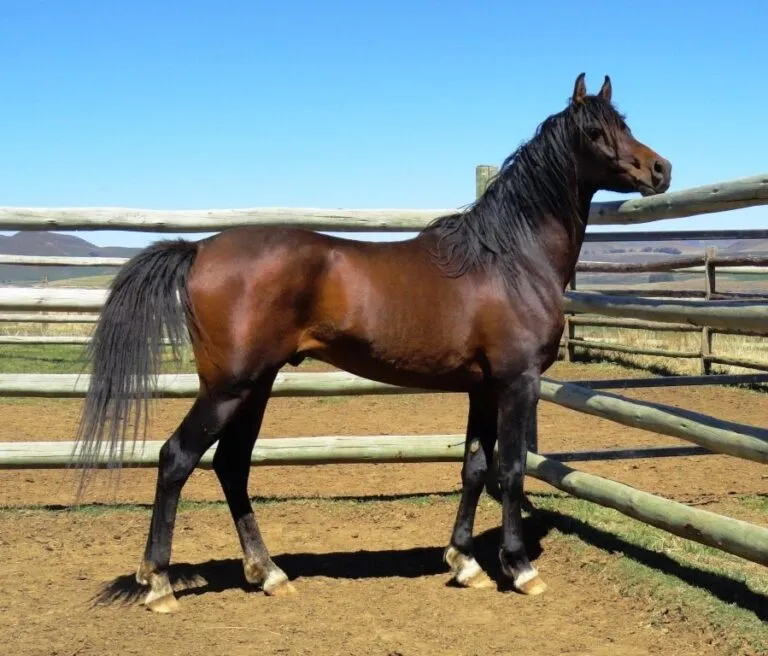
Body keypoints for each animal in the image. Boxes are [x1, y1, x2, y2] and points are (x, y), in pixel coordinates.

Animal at [75, 73, 671, 613]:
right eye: (595, 131)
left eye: (625, 124)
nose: (660, 169)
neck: (509, 260)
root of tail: (200, 249)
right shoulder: (515, 382)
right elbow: (511, 470)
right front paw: (520, 568)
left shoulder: (482, 388)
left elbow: (475, 467)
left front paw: (465, 563)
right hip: (229, 387)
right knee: (177, 458)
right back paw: (159, 584)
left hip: (256, 386)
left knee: (231, 466)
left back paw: (267, 573)